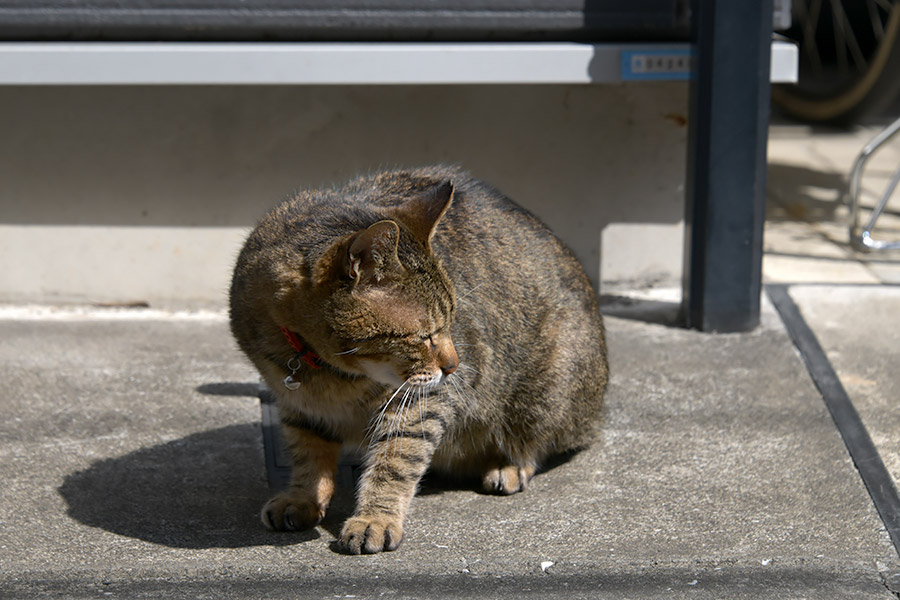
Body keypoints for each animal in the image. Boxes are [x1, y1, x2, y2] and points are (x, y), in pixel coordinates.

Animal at [230, 166, 612, 556]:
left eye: (452, 321)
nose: (454, 365)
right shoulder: (297, 404)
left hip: (547, 391)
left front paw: (375, 518)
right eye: (425, 335)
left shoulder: (419, 402)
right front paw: (302, 498)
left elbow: (395, 460)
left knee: (535, 441)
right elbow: (308, 455)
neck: (325, 376)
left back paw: (507, 465)